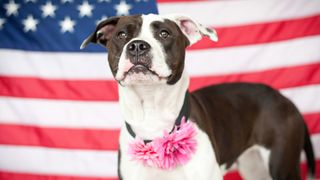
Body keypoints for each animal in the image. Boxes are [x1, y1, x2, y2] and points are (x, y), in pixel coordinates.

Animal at [80, 13, 316, 180]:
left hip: (282, 166)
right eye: (121, 35)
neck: (152, 112)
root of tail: (284, 98)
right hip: (254, 166)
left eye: (164, 33)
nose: (137, 45)